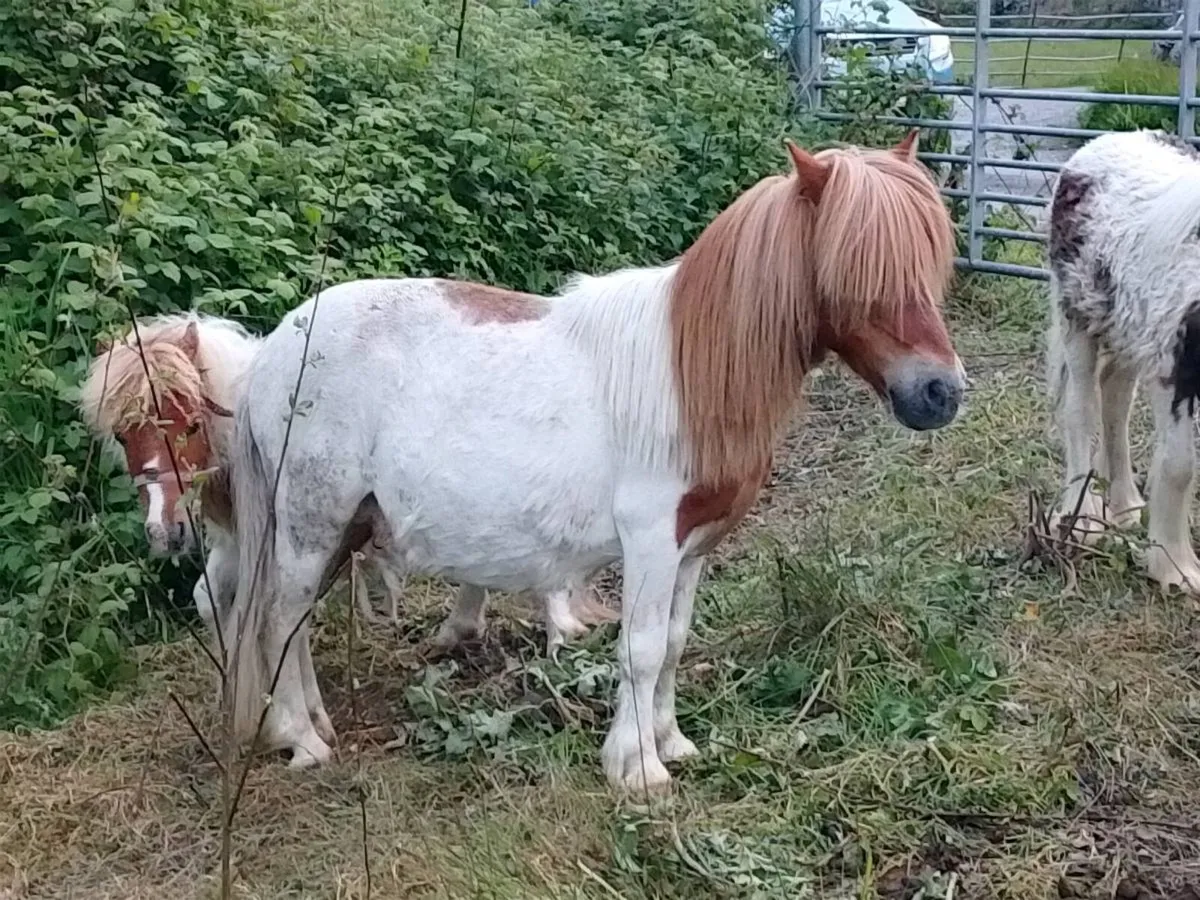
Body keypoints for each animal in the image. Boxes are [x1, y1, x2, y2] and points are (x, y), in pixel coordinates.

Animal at [222, 131, 964, 792]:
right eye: (855, 269)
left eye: (928, 265)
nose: (941, 392)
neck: (691, 372)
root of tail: (272, 350)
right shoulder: (651, 542)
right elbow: (640, 650)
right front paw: (637, 769)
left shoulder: (693, 548)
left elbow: (674, 642)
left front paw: (671, 741)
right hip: (311, 526)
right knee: (281, 619)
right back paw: (303, 740)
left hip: (340, 530)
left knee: (296, 626)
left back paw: (311, 723)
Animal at [1046, 130, 1200, 594]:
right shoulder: (1175, 363)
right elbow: (1180, 465)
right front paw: (1175, 570)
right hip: (1077, 318)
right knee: (1081, 410)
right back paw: (1082, 519)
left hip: (1130, 328)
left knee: (1115, 401)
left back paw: (1126, 505)